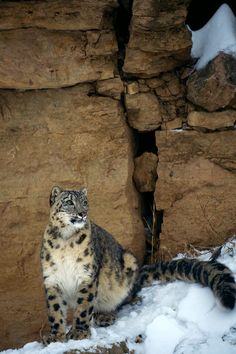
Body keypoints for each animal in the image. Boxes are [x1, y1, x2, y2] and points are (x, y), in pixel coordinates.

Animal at [41, 187, 236, 344]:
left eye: (85, 202)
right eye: (69, 202)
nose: (82, 213)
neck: (65, 240)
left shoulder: (86, 275)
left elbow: (83, 307)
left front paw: (79, 332)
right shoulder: (52, 279)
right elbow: (55, 310)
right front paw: (55, 336)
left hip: (127, 264)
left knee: (124, 298)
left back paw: (105, 315)